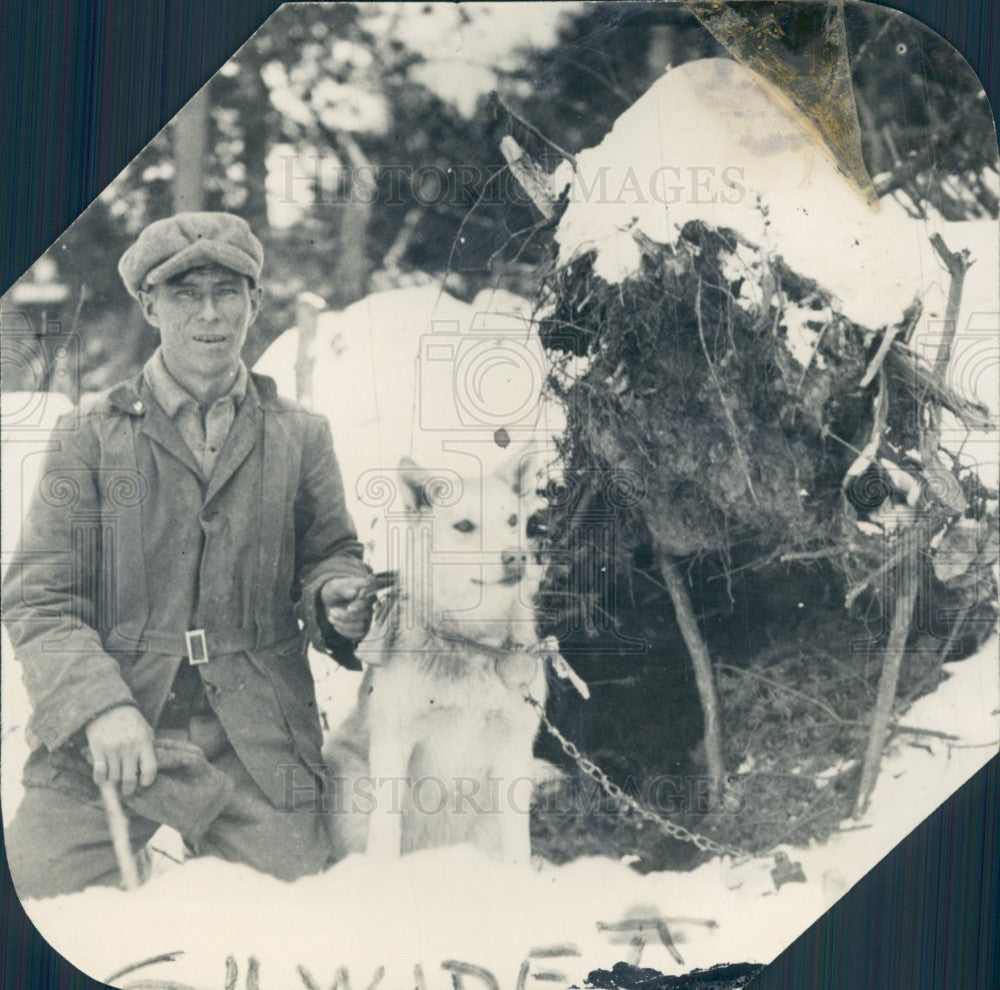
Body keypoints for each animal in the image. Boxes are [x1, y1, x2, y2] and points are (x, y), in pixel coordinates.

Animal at [324, 458, 552, 868]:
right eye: (464, 526)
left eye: (512, 519)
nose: (515, 557)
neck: (471, 642)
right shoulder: (395, 739)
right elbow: (386, 833)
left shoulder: (513, 744)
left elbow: (518, 844)